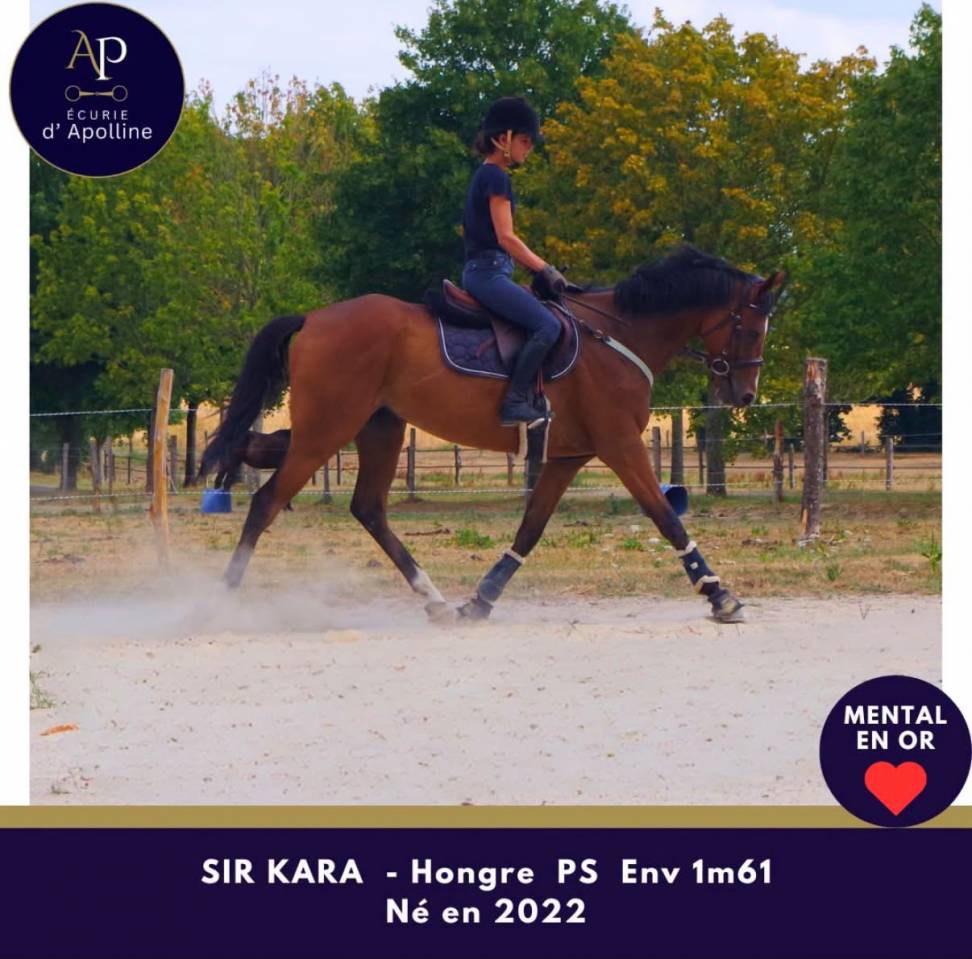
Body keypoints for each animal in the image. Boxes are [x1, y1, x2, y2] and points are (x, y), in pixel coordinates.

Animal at [199, 244, 783, 624]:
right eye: (753, 328)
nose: (745, 395)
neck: (617, 335)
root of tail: (314, 318)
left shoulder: (569, 454)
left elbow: (531, 527)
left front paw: (481, 600)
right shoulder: (620, 444)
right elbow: (665, 517)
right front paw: (720, 595)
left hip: (375, 427)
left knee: (362, 505)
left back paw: (435, 599)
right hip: (329, 427)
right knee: (268, 501)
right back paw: (220, 596)